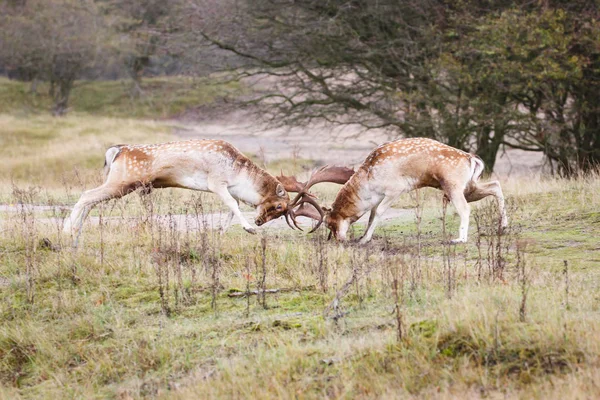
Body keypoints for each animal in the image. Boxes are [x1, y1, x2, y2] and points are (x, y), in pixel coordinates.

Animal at [62, 139, 352, 242]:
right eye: (280, 206)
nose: (260, 221)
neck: (237, 173)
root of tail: (117, 150)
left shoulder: (226, 188)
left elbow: (231, 209)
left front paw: (220, 231)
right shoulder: (216, 182)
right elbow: (232, 205)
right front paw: (249, 228)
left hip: (120, 183)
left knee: (90, 199)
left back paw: (76, 230)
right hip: (123, 182)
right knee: (86, 195)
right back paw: (68, 230)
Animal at [286, 138, 506, 244]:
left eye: (330, 223)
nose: (339, 240)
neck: (369, 181)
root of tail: (471, 157)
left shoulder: (395, 190)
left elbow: (379, 213)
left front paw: (364, 240)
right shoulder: (378, 197)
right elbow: (371, 214)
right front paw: (363, 236)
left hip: (452, 185)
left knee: (465, 209)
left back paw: (459, 239)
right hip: (468, 186)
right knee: (495, 185)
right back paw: (503, 227)